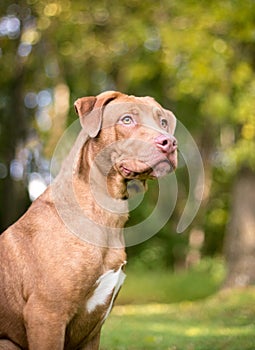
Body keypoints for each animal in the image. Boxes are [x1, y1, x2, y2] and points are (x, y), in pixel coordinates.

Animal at [0, 91, 177, 348]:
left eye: (163, 122)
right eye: (126, 120)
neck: (107, 216)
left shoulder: (93, 329)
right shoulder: (46, 315)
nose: (170, 142)